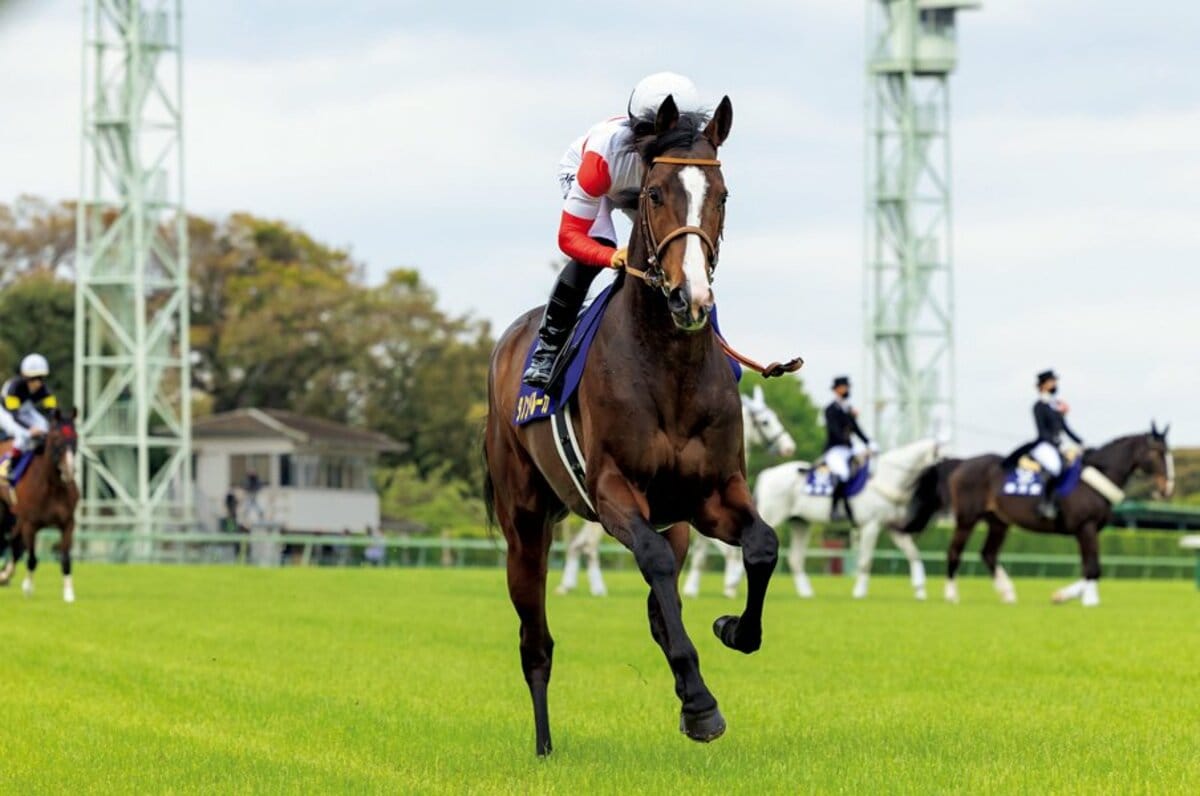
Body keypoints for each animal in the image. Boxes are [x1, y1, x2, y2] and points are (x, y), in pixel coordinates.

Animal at [0, 410, 79, 605]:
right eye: (56, 438)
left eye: (75, 437)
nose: (69, 471)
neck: (53, 486)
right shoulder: (31, 523)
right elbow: (32, 559)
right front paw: (28, 588)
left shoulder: (68, 523)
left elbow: (66, 559)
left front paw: (69, 594)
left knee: (14, 543)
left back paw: (5, 574)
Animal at [482, 96, 782, 758]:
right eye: (653, 194)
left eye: (722, 194)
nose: (691, 299)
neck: (670, 367)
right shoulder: (615, 492)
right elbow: (654, 562)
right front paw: (701, 703)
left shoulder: (713, 495)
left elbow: (761, 546)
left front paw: (733, 629)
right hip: (525, 525)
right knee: (535, 641)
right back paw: (544, 746)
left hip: (675, 519)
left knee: (656, 604)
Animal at [902, 427, 1171, 607]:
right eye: (1157, 453)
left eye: (1168, 452)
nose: (1167, 488)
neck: (1095, 478)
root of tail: (961, 462)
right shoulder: (1085, 528)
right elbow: (1093, 568)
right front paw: (1074, 597)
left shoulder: (1090, 530)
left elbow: (1091, 568)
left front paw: (1083, 597)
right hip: (967, 519)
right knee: (954, 552)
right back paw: (952, 594)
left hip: (998, 521)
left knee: (988, 554)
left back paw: (1007, 593)